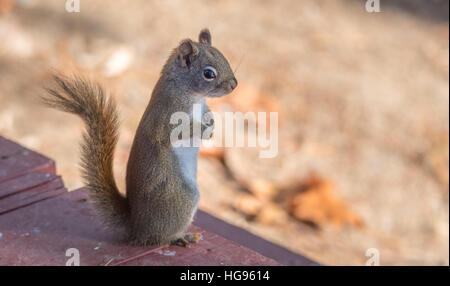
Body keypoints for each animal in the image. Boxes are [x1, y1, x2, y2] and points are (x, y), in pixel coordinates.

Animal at [44, 28, 237, 246]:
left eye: (224, 58)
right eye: (208, 73)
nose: (234, 84)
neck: (190, 93)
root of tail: (136, 227)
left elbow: (206, 112)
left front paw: (211, 120)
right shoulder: (167, 116)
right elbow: (175, 132)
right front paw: (204, 129)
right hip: (181, 196)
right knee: (158, 237)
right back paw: (180, 237)